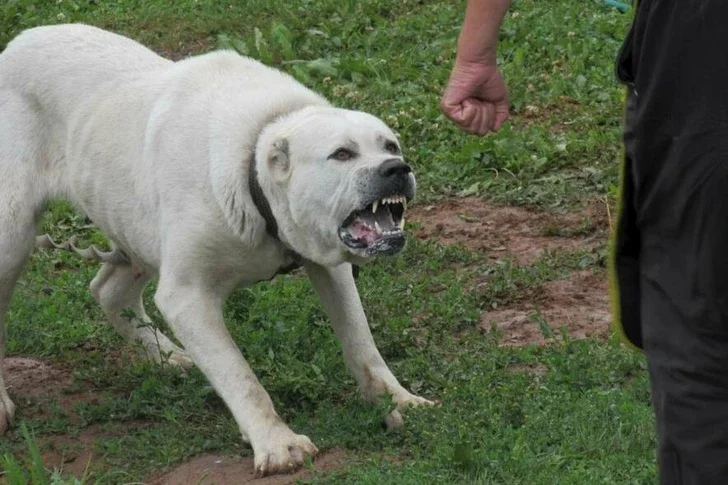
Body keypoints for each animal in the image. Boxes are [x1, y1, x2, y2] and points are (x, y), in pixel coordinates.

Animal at [0, 24, 432, 474]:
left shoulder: (331, 267)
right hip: (11, 236)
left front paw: (399, 399)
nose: (397, 169)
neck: (254, 173)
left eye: (391, 146)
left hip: (134, 224)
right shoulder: (187, 295)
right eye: (342, 154)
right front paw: (277, 443)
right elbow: (240, 376)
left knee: (108, 291)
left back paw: (168, 356)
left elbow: (361, 342)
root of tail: (17, 43)